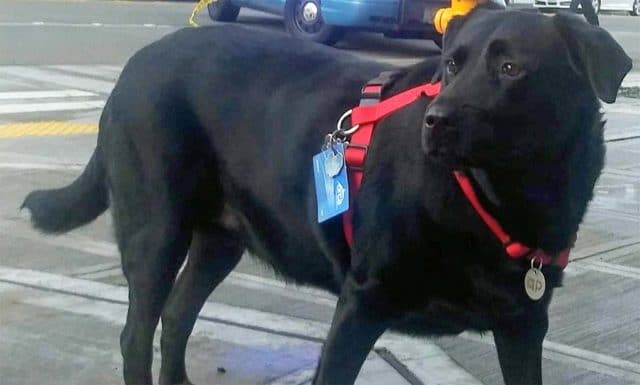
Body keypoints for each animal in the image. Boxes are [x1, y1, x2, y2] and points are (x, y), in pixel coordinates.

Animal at [22, 6, 632, 384]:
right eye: (452, 64)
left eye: (510, 68)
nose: (434, 121)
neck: (496, 196)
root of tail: (132, 66)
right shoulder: (361, 304)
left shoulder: (524, 326)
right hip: (156, 232)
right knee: (136, 336)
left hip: (219, 240)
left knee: (175, 319)